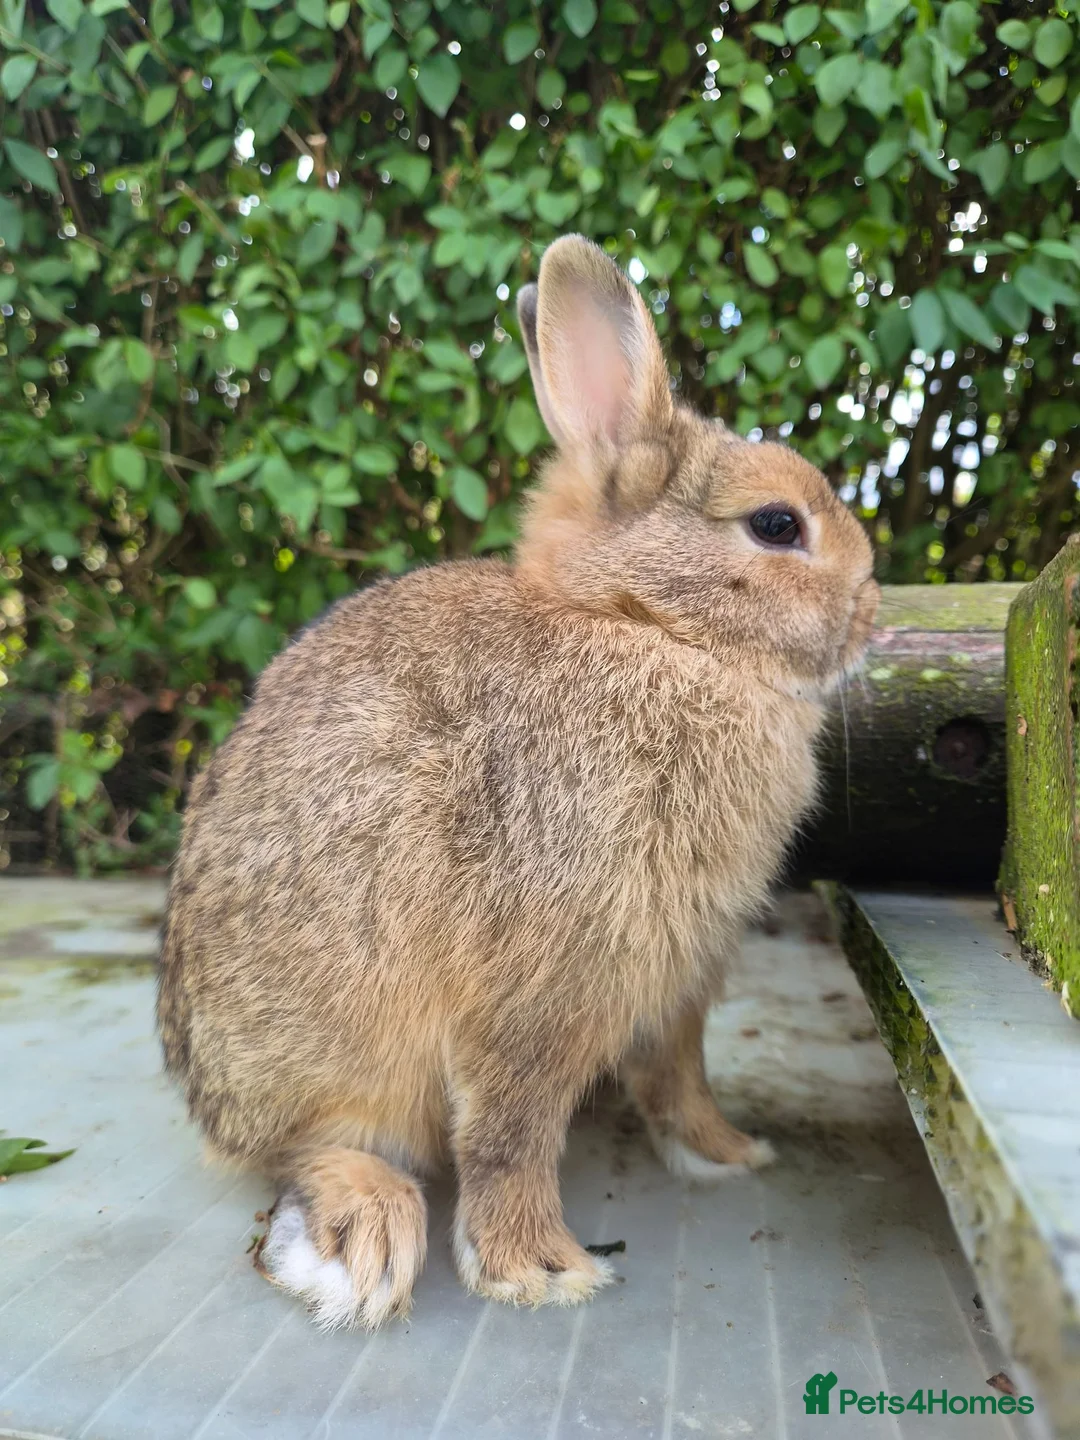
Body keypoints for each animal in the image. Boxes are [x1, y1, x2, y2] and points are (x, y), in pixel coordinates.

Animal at [157, 233, 879, 1331]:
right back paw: (366, 1235)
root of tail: (203, 1086)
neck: (650, 630)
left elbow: (682, 1075)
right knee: (309, 1149)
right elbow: (512, 1130)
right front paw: (539, 1270)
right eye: (775, 524)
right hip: (340, 1052)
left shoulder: (679, 977)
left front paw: (730, 1154)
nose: (874, 612)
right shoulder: (540, 988)